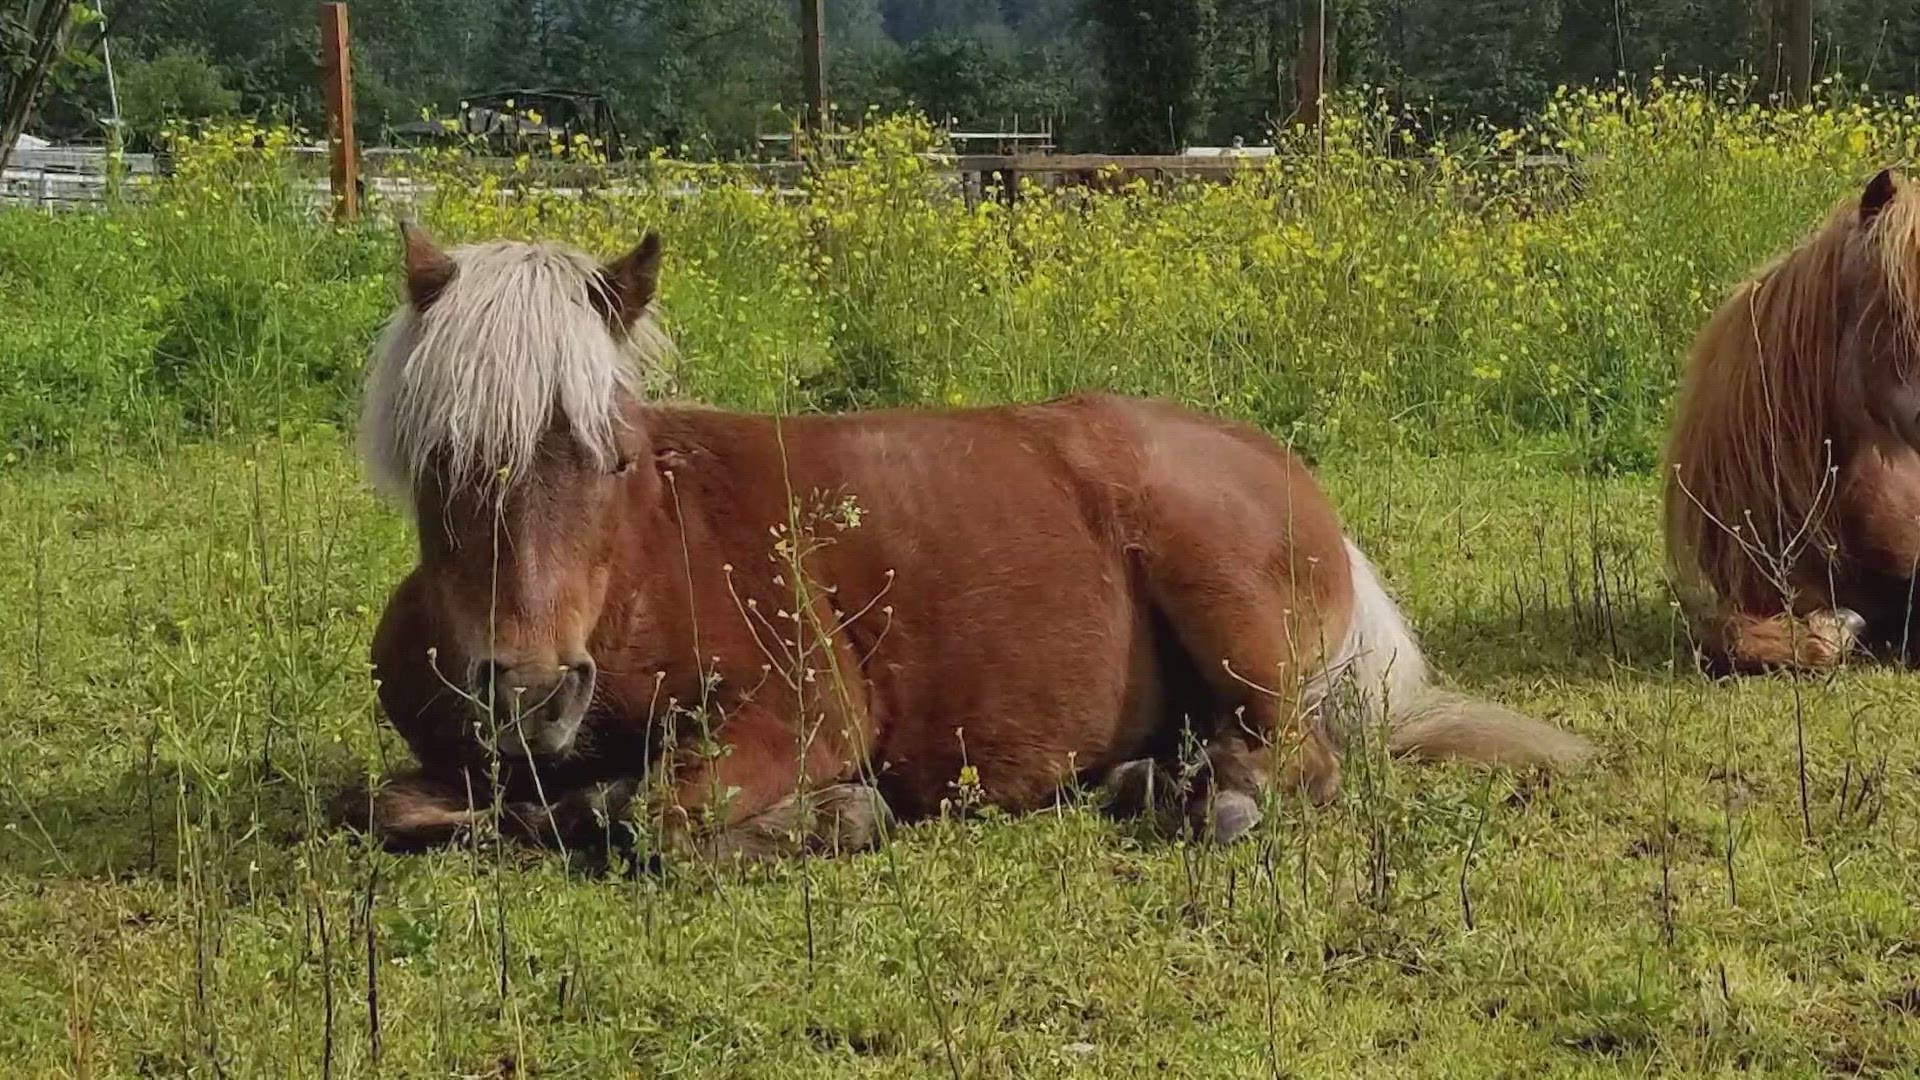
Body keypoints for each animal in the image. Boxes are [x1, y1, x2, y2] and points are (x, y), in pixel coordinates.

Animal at [337, 224, 1597, 857]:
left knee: (1301, 763)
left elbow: (658, 812)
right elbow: (396, 805)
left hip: (1236, 623)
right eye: (440, 456)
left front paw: (839, 816)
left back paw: (1205, 802)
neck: (643, 560)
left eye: (612, 455)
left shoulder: (800, 716)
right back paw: (1148, 780)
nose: (526, 691)